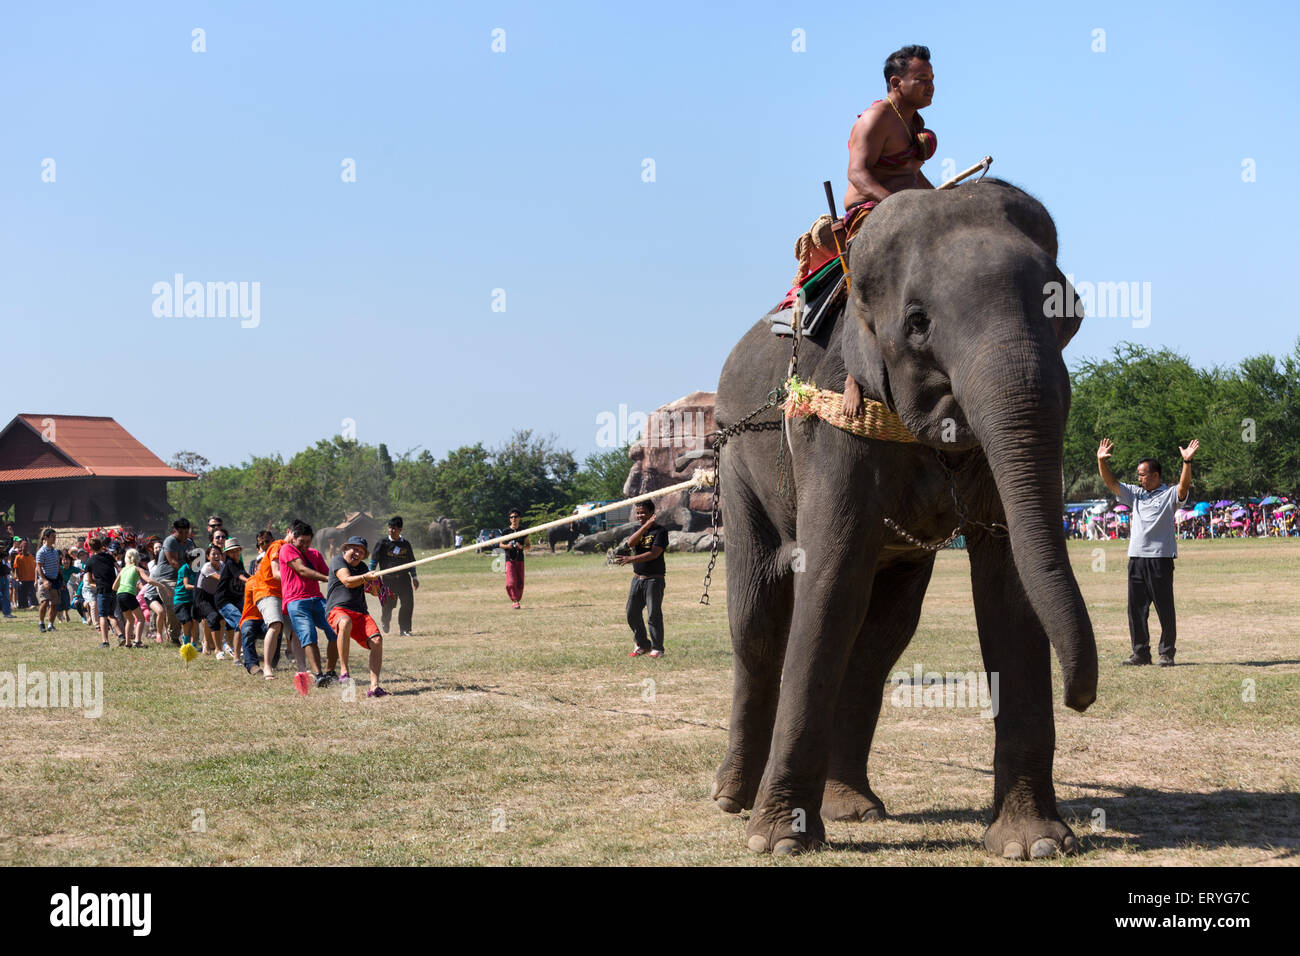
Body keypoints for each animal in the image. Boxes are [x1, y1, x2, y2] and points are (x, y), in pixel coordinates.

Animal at [711, 180, 1098, 858]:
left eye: (1069, 314)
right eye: (918, 324)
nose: (1082, 698)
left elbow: (1010, 584)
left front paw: (1035, 844)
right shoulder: (835, 418)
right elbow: (829, 580)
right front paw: (779, 841)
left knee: (880, 639)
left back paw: (853, 807)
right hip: (737, 466)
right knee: (757, 625)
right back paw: (732, 800)